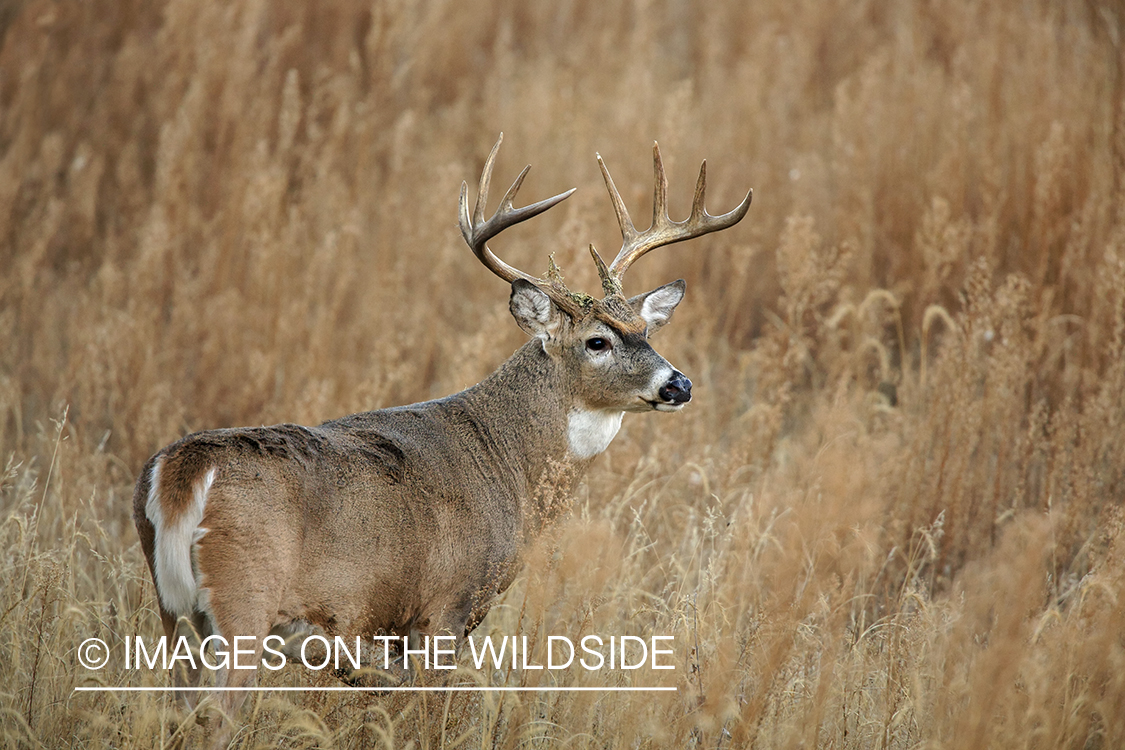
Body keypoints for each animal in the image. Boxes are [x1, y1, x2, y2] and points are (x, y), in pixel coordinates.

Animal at [131, 133, 751, 737]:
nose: (679, 383)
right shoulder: (448, 607)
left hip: (176, 614)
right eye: (597, 341)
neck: (507, 462)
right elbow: (429, 719)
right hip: (243, 603)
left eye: (646, 330)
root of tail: (180, 469)